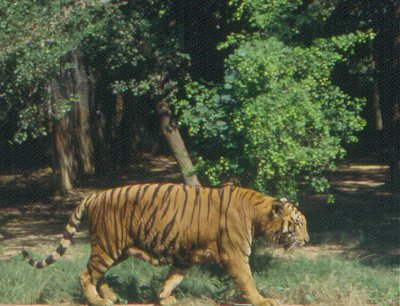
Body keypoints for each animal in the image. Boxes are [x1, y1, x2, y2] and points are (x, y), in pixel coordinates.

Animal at [21, 183, 310, 306]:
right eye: (297, 223)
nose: (307, 240)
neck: (258, 214)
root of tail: (94, 195)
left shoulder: (185, 256)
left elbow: (173, 277)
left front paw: (164, 297)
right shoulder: (235, 256)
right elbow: (248, 281)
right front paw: (263, 300)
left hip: (116, 249)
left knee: (95, 273)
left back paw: (110, 296)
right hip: (108, 244)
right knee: (85, 274)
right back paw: (98, 301)